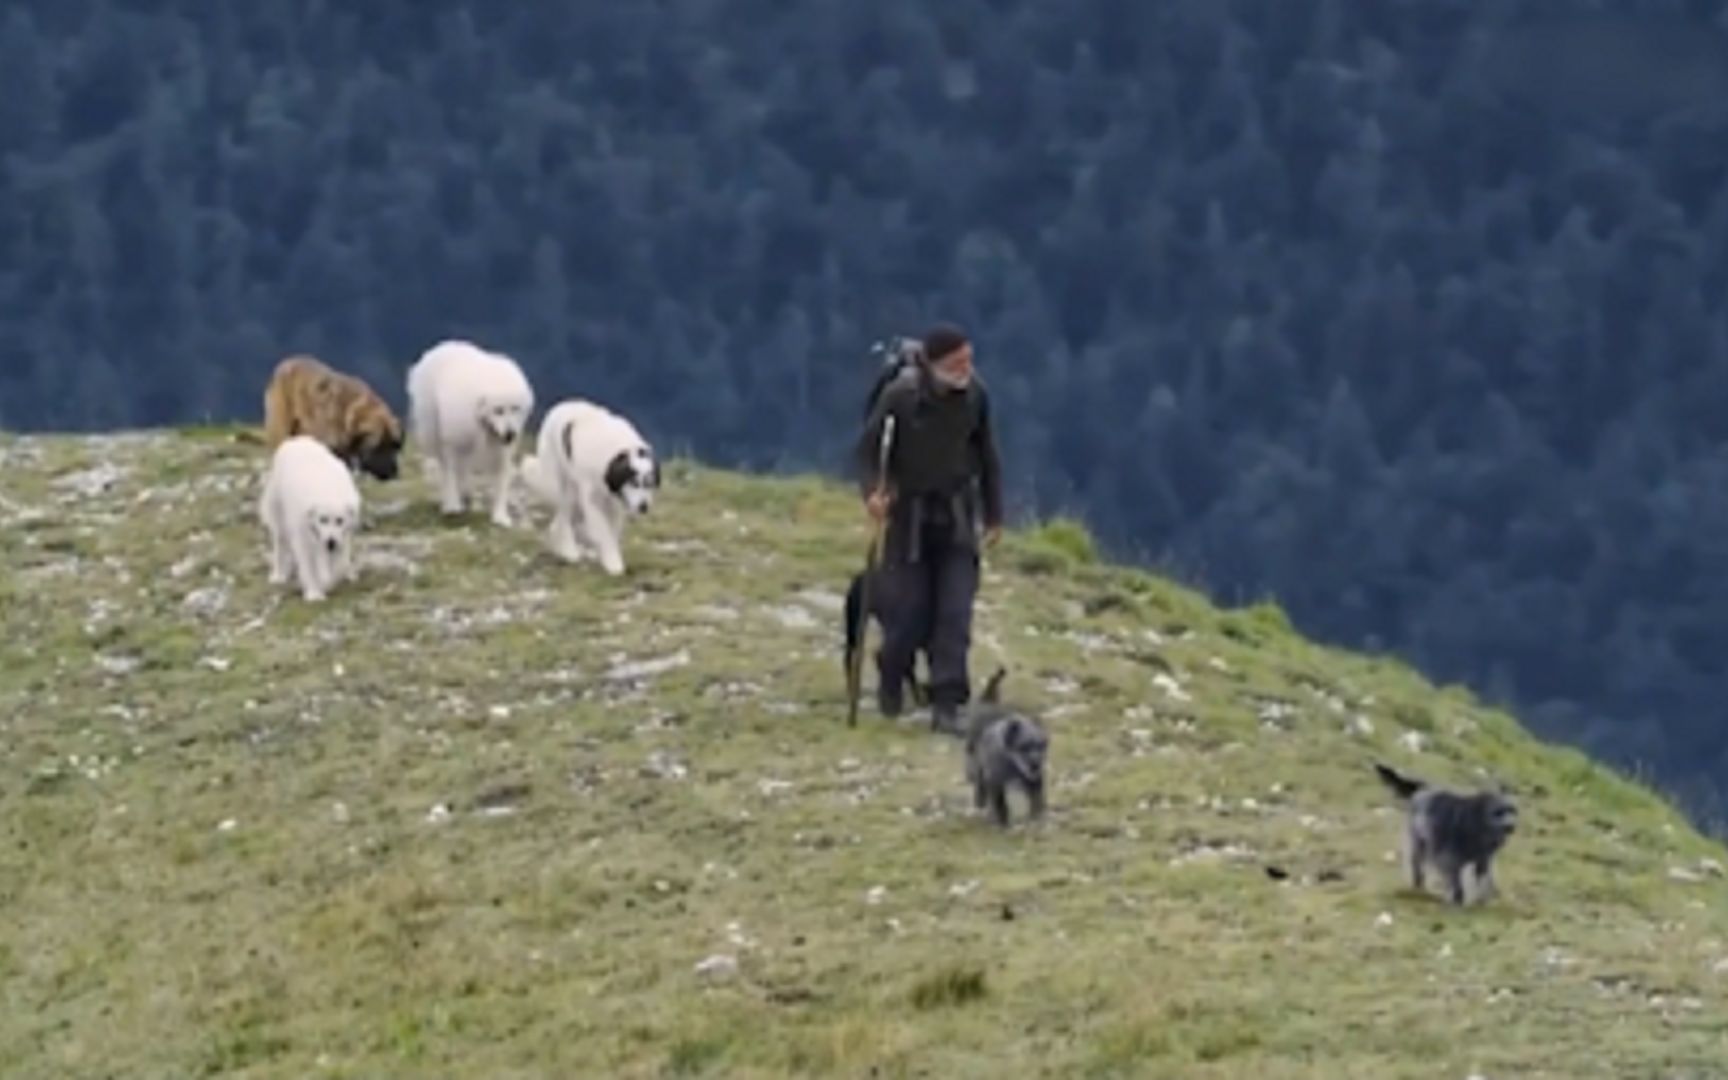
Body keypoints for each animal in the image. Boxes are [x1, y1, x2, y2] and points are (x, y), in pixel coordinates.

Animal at [257, 432, 359, 597]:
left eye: (339, 520)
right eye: (322, 519)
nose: (330, 542)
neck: (328, 491)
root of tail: (297, 440)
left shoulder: (341, 536)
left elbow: (339, 565)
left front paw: (329, 581)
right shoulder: (303, 534)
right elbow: (309, 565)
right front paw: (314, 593)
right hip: (279, 513)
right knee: (280, 544)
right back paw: (278, 575)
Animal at [404, 335, 532, 525]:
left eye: (515, 408)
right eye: (498, 410)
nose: (510, 434)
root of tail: (441, 346)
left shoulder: (502, 450)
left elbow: (502, 480)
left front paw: (500, 517)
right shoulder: (453, 439)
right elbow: (450, 472)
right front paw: (452, 506)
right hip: (434, 425)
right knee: (447, 467)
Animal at [514, 395, 656, 577]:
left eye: (649, 483)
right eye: (634, 482)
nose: (644, 507)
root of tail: (561, 405)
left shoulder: (614, 501)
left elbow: (612, 529)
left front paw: (608, 556)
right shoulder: (592, 498)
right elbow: (603, 530)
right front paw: (613, 563)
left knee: (561, 519)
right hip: (563, 483)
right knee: (564, 515)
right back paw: (569, 551)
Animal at [967, 667, 1043, 825]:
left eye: (1041, 745)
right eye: (1024, 746)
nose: (1036, 764)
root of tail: (987, 699)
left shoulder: (1035, 781)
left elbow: (1037, 801)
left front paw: (1038, 818)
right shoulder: (995, 782)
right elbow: (1000, 804)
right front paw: (1003, 823)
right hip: (977, 762)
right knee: (979, 784)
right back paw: (979, 803)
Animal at [1368, 763, 1520, 905]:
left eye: (1512, 811)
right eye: (1499, 813)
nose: (1511, 826)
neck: (1478, 823)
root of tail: (1425, 787)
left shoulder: (1483, 860)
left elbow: (1483, 879)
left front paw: (1482, 900)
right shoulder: (1449, 858)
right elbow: (1456, 881)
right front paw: (1458, 900)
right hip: (1420, 842)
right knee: (1417, 863)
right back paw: (1418, 885)